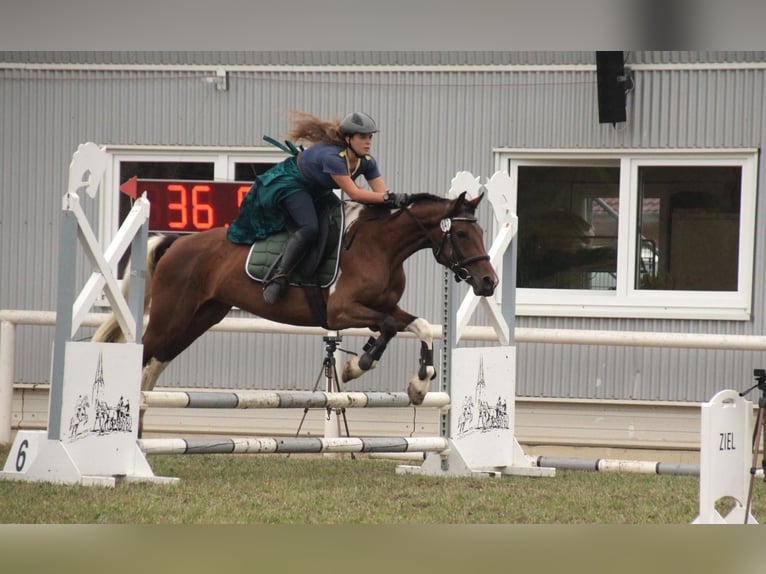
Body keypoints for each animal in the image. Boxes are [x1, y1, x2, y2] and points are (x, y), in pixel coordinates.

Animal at [94, 191, 498, 430]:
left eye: (479, 233)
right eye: (462, 235)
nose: (489, 283)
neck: (382, 247)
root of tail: (176, 243)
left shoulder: (388, 306)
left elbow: (420, 326)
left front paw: (417, 385)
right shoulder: (342, 311)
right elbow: (385, 327)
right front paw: (358, 364)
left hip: (199, 318)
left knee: (154, 365)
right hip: (171, 317)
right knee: (142, 355)